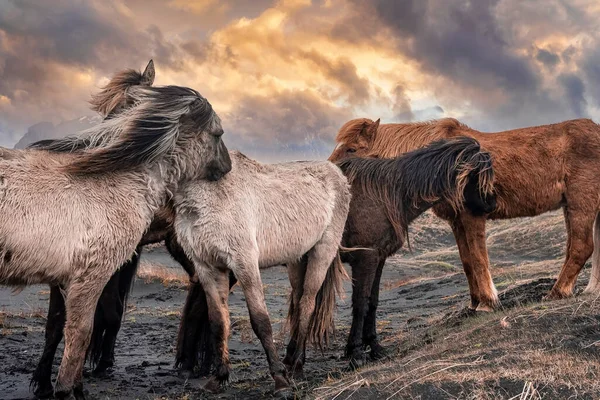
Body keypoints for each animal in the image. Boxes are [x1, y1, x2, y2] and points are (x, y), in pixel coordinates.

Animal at [0, 83, 231, 398]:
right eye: (217, 133)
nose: (228, 168)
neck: (106, 185)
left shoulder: (71, 280)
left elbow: (70, 330)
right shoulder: (87, 278)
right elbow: (78, 333)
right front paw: (65, 389)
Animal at [171, 151, 350, 394]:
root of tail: (338, 174)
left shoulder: (244, 263)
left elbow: (260, 320)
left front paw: (279, 379)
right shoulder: (206, 266)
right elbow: (218, 321)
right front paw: (219, 377)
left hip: (323, 251)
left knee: (307, 303)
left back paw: (296, 366)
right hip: (297, 259)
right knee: (298, 300)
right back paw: (293, 359)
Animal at [176, 137, 494, 372]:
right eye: (479, 175)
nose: (490, 206)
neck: (387, 193)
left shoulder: (378, 259)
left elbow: (372, 302)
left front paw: (374, 347)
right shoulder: (366, 259)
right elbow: (360, 304)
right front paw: (355, 353)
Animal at [328, 117, 600, 310]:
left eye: (351, 149)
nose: (329, 170)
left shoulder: (472, 216)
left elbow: (479, 259)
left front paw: (489, 303)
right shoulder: (456, 221)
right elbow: (468, 261)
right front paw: (475, 303)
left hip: (581, 203)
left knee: (581, 247)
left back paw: (556, 293)